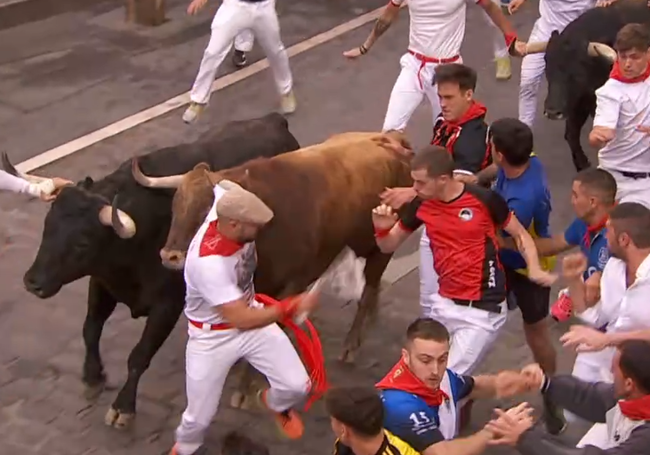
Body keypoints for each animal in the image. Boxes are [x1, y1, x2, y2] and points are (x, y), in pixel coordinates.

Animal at [2, 114, 298, 432]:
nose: (33, 282)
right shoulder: (102, 283)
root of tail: (274, 120)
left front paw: (122, 407)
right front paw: (93, 376)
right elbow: (90, 329)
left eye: (82, 242)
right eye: (47, 226)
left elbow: (139, 355)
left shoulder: (166, 306)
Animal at [132, 129, 412, 406]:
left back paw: (351, 344)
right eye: (175, 207)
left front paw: (245, 387)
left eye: (207, 211)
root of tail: (391, 137)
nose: (170, 256)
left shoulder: (295, 281)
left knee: (368, 289)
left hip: (380, 248)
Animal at [524, 0, 648, 171]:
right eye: (547, 68)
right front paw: (581, 163)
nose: (552, 112)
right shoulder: (578, 103)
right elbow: (571, 133)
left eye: (577, 73)